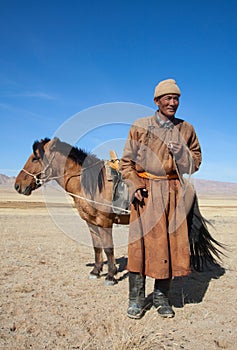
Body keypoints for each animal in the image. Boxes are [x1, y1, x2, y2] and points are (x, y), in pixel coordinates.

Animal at [14, 136, 224, 284]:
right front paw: (96, 271)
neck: (91, 183)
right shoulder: (91, 222)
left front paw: (111, 275)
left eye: (35, 158)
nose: (17, 186)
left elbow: (108, 248)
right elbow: (97, 247)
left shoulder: (105, 221)